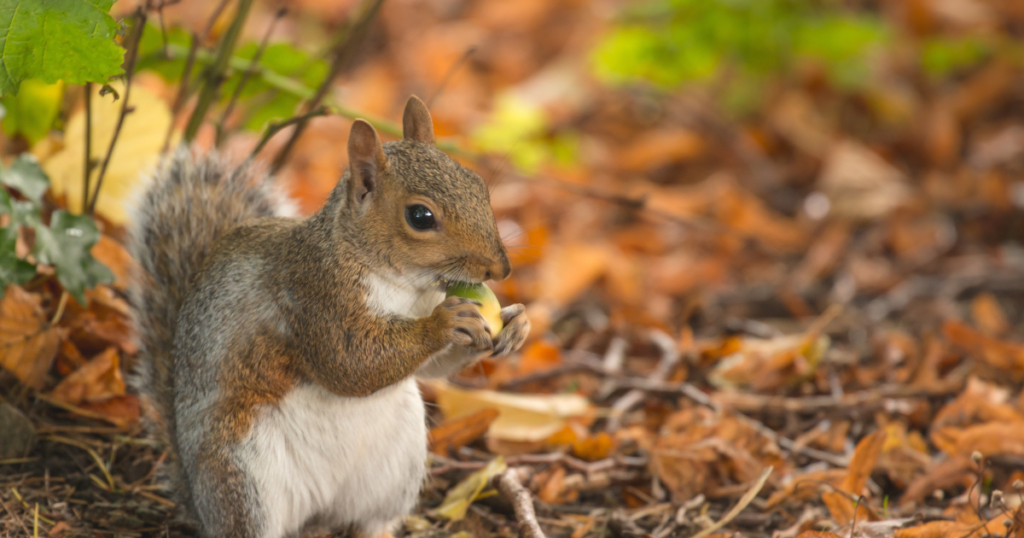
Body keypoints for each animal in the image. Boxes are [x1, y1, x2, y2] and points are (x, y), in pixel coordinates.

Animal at [125, 96, 536, 536]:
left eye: (478, 184)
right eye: (420, 217)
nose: (500, 270)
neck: (402, 284)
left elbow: (431, 369)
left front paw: (516, 323)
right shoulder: (313, 296)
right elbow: (349, 363)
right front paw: (443, 324)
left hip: (397, 463)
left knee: (371, 519)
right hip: (241, 473)